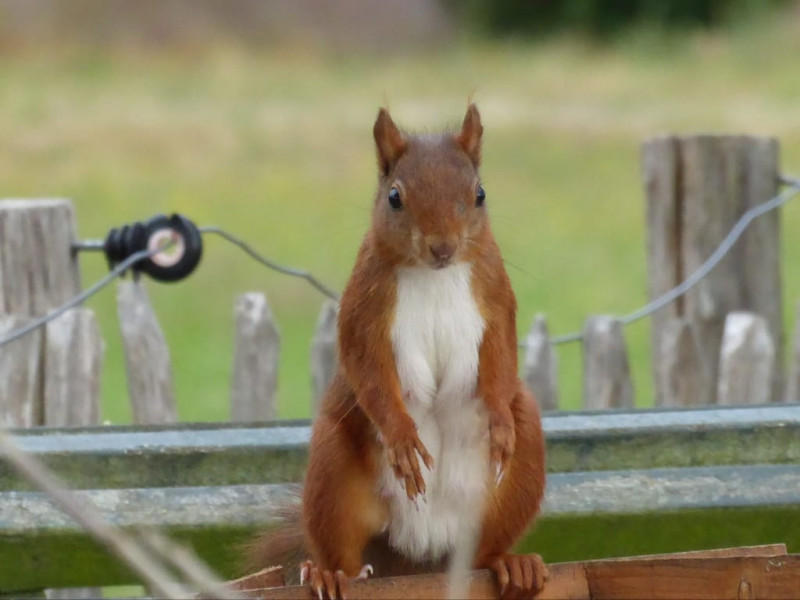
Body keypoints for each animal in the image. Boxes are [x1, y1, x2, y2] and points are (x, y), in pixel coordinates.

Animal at [253, 105, 548, 596]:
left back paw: (512, 564)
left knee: (483, 551)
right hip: (335, 469)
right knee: (342, 546)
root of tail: (419, 553)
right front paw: (402, 436)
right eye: (394, 197)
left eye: (479, 194)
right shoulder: (363, 311)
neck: (433, 275)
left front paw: (499, 424)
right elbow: (367, 369)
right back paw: (330, 573)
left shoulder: (496, 299)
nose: (443, 246)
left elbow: (502, 354)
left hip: (516, 478)